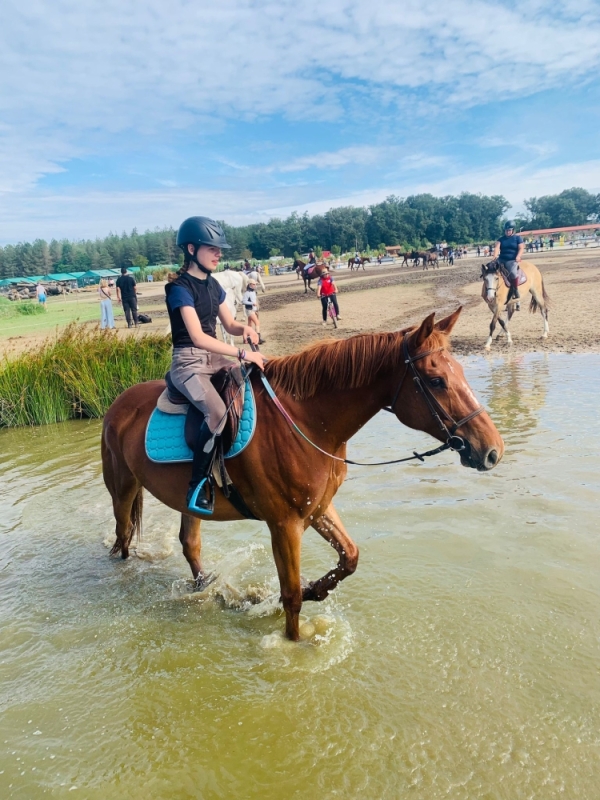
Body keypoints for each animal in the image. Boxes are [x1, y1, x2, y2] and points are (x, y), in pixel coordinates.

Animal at [102, 310, 502, 640]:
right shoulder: (285, 524)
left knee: (190, 544)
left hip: (189, 504)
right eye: (436, 381)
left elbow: (350, 557)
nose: (492, 450)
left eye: (460, 373)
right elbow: (291, 597)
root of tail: (119, 403)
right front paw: (295, 647)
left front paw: (317, 589)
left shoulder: (318, 508)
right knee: (123, 539)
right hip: (122, 489)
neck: (305, 421)